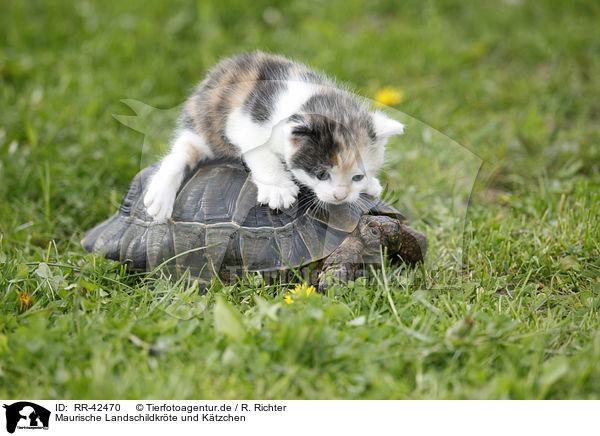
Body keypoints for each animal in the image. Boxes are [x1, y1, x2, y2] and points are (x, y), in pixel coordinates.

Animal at [144, 51, 406, 220]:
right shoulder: (245, 122)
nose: (340, 197)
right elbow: (260, 153)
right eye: (321, 175)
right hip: (204, 126)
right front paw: (278, 189)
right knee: (179, 154)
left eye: (357, 176)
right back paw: (160, 197)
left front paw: (369, 185)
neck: (313, 100)